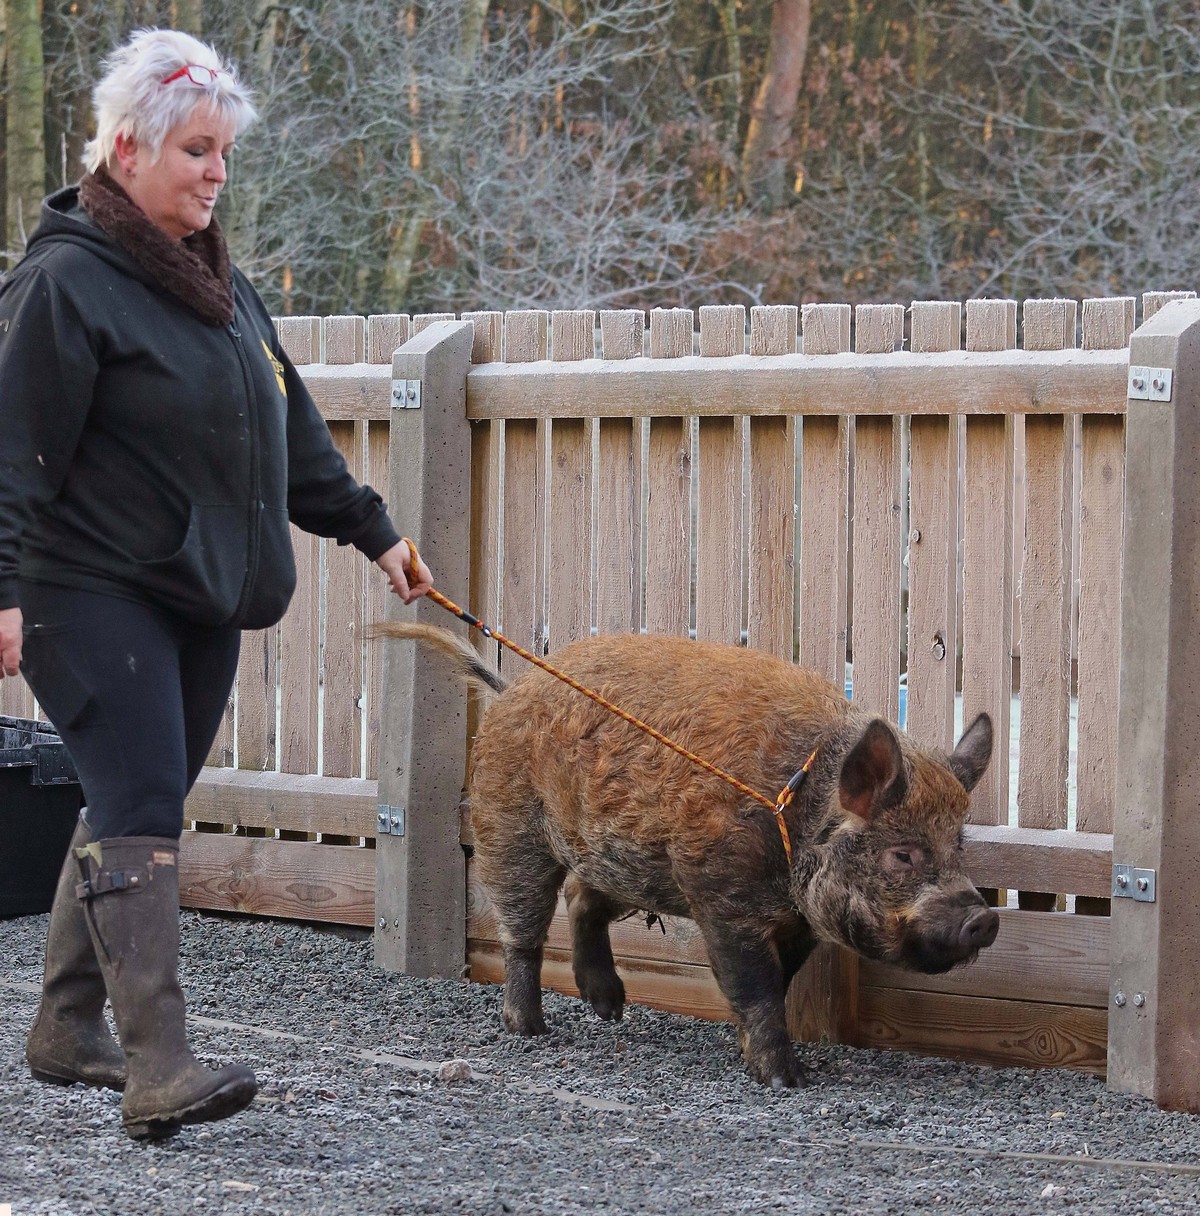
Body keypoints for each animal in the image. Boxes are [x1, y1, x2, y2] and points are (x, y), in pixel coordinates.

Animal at [372, 622, 996, 1089]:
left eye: (959, 844)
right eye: (903, 855)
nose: (984, 917)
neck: (794, 818)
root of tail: (507, 691)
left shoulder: (792, 921)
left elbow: (780, 981)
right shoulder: (719, 891)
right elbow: (757, 985)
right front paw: (790, 1080)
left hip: (627, 858)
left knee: (581, 898)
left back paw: (611, 1009)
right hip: (510, 827)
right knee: (522, 932)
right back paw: (531, 1030)